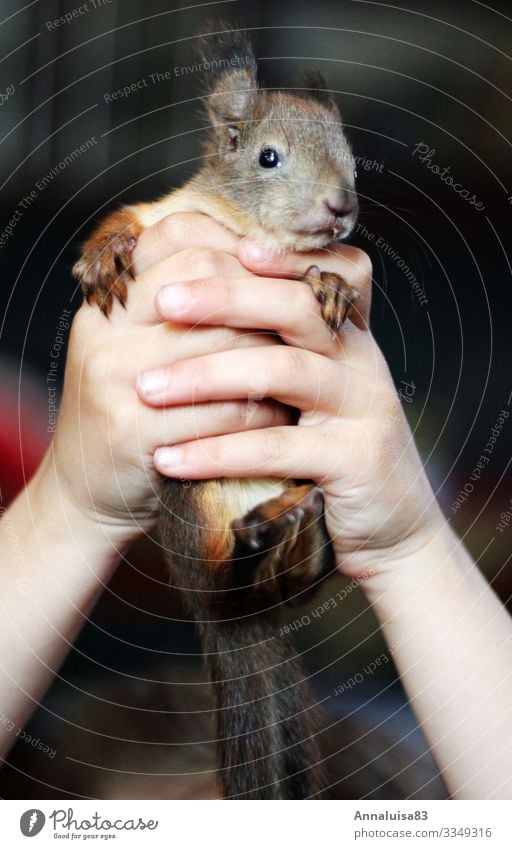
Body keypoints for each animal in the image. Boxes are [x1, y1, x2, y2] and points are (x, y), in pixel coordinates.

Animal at [73, 23, 360, 800]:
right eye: (267, 156)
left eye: (352, 157)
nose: (342, 208)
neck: (237, 228)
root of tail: (229, 619)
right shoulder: (166, 212)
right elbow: (126, 219)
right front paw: (102, 257)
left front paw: (331, 285)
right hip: (197, 512)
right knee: (230, 574)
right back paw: (261, 539)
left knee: (298, 577)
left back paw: (294, 531)